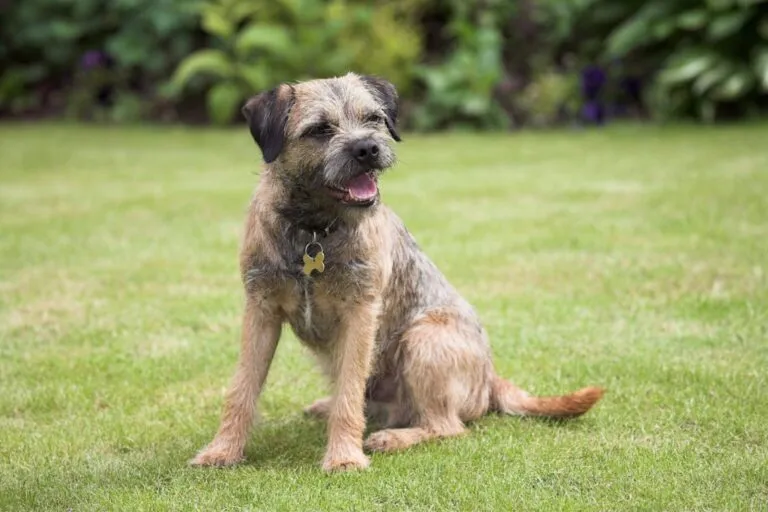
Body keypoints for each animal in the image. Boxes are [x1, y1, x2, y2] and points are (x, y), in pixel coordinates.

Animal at [189, 72, 604, 472]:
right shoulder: (260, 310)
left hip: (423, 339)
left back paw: (392, 438)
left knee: (447, 427)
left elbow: (350, 391)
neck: (313, 231)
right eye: (320, 129)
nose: (367, 148)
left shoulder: (360, 312)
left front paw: (344, 457)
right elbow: (242, 388)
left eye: (373, 119)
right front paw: (222, 451)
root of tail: (490, 379)